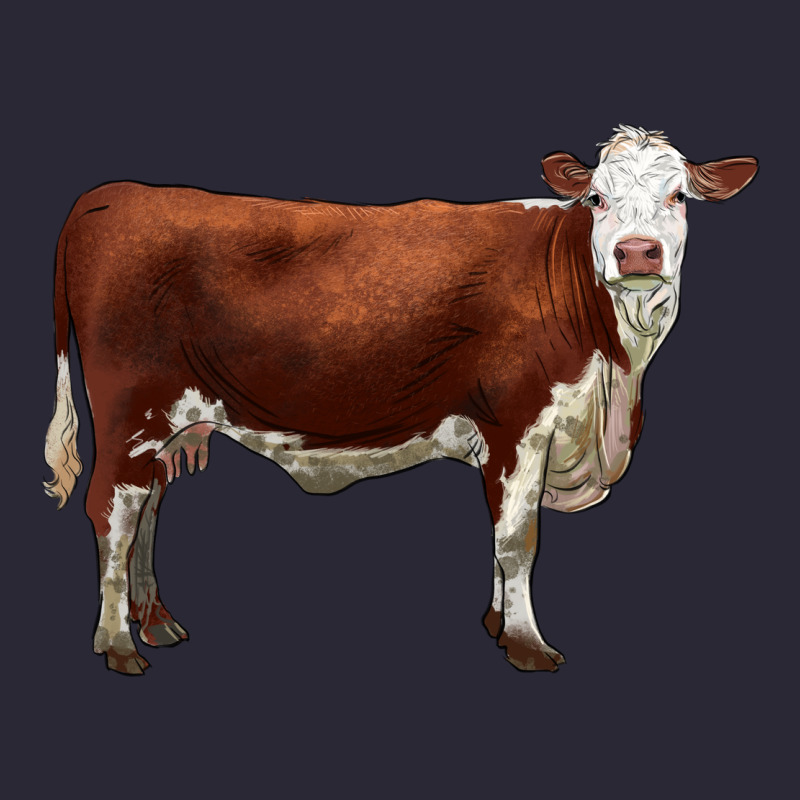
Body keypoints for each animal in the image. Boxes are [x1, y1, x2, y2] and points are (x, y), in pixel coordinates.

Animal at [44, 126, 757, 675]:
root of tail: (112, 194)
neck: (613, 384)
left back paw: (155, 621)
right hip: (130, 411)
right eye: (598, 198)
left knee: (147, 509)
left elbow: (500, 532)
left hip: (168, 423)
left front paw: (497, 623)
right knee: (112, 511)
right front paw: (526, 645)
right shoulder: (519, 422)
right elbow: (518, 538)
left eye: (678, 196)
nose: (638, 253)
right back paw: (118, 644)